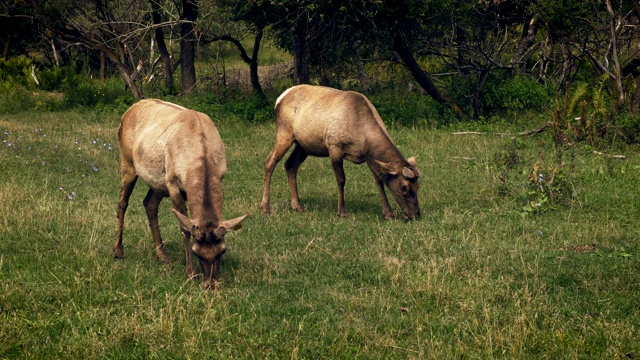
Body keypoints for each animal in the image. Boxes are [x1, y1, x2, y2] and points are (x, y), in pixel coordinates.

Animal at [115, 99, 248, 290]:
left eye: (223, 250)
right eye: (196, 252)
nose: (210, 284)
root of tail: (128, 112)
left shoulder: (219, 176)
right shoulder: (173, 183)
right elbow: (185, 229)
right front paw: (190, 273)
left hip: (158, 181)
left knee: (149, 203)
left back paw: (162, 255)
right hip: (128, 163)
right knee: (122, 202)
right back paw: (118, 251)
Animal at [260, 85, 420, 219]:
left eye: (418, 186)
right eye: (404, 186)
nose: (416, 214)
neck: (363, 137)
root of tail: (279, 100)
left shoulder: (368, 157)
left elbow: (379, 180)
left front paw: (388, 213)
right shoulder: (334, 147)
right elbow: (341, 179)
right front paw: (342, 211)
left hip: (303, 145)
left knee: (290, 165)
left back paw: (297, 206)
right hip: (284, 133)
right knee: (269, 162)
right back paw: (265, 207)